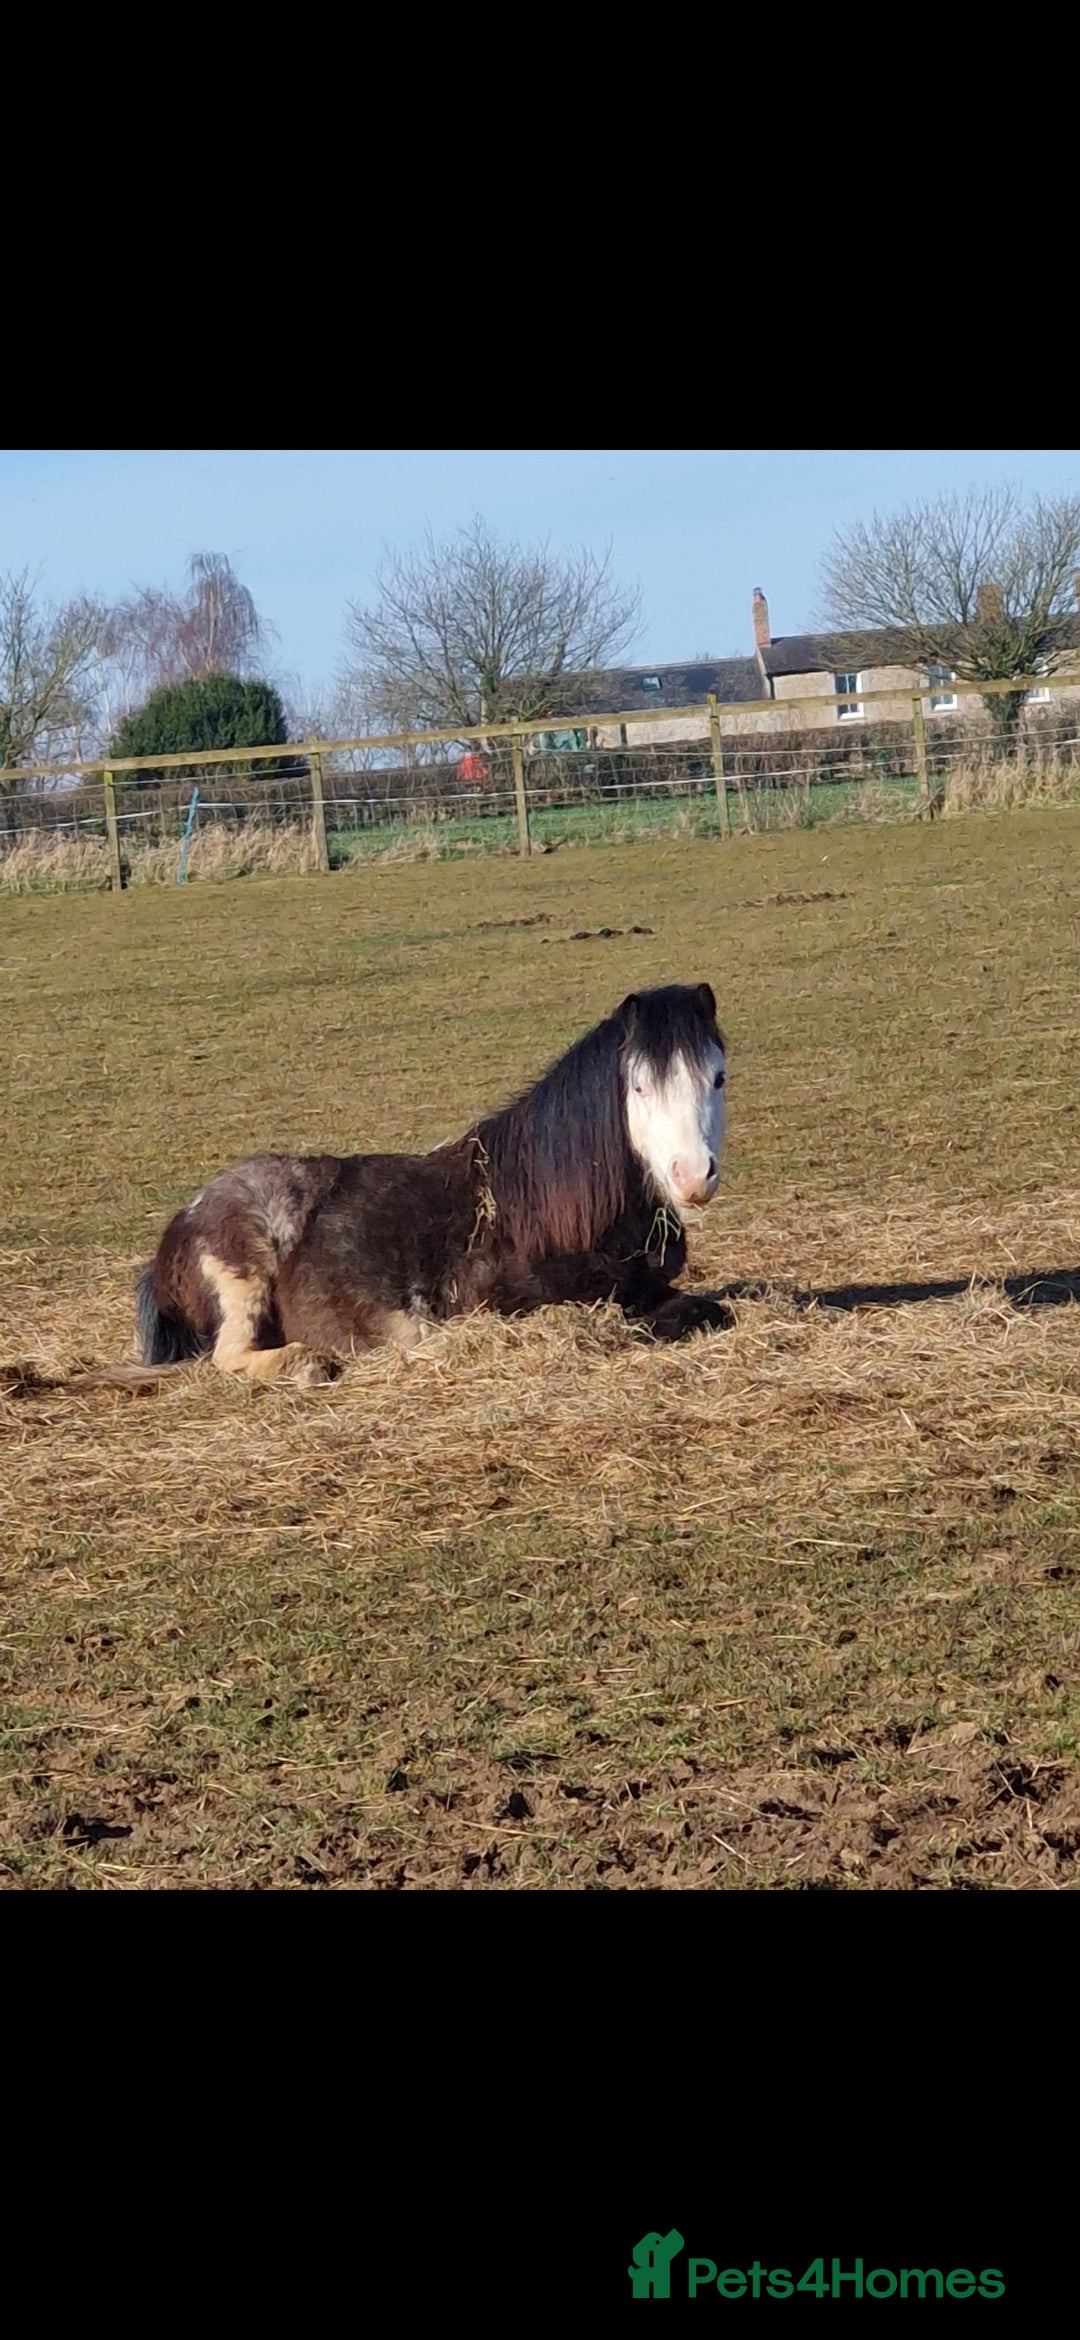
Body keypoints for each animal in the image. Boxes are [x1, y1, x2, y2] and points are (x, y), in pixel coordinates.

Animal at [132, 982, 730, 1387]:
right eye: (639, 1086)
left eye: (718, 1077)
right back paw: (308, 1362)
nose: (692, 1176)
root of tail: (185, 1218)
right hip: (244, 1276)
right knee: (229, 1356)